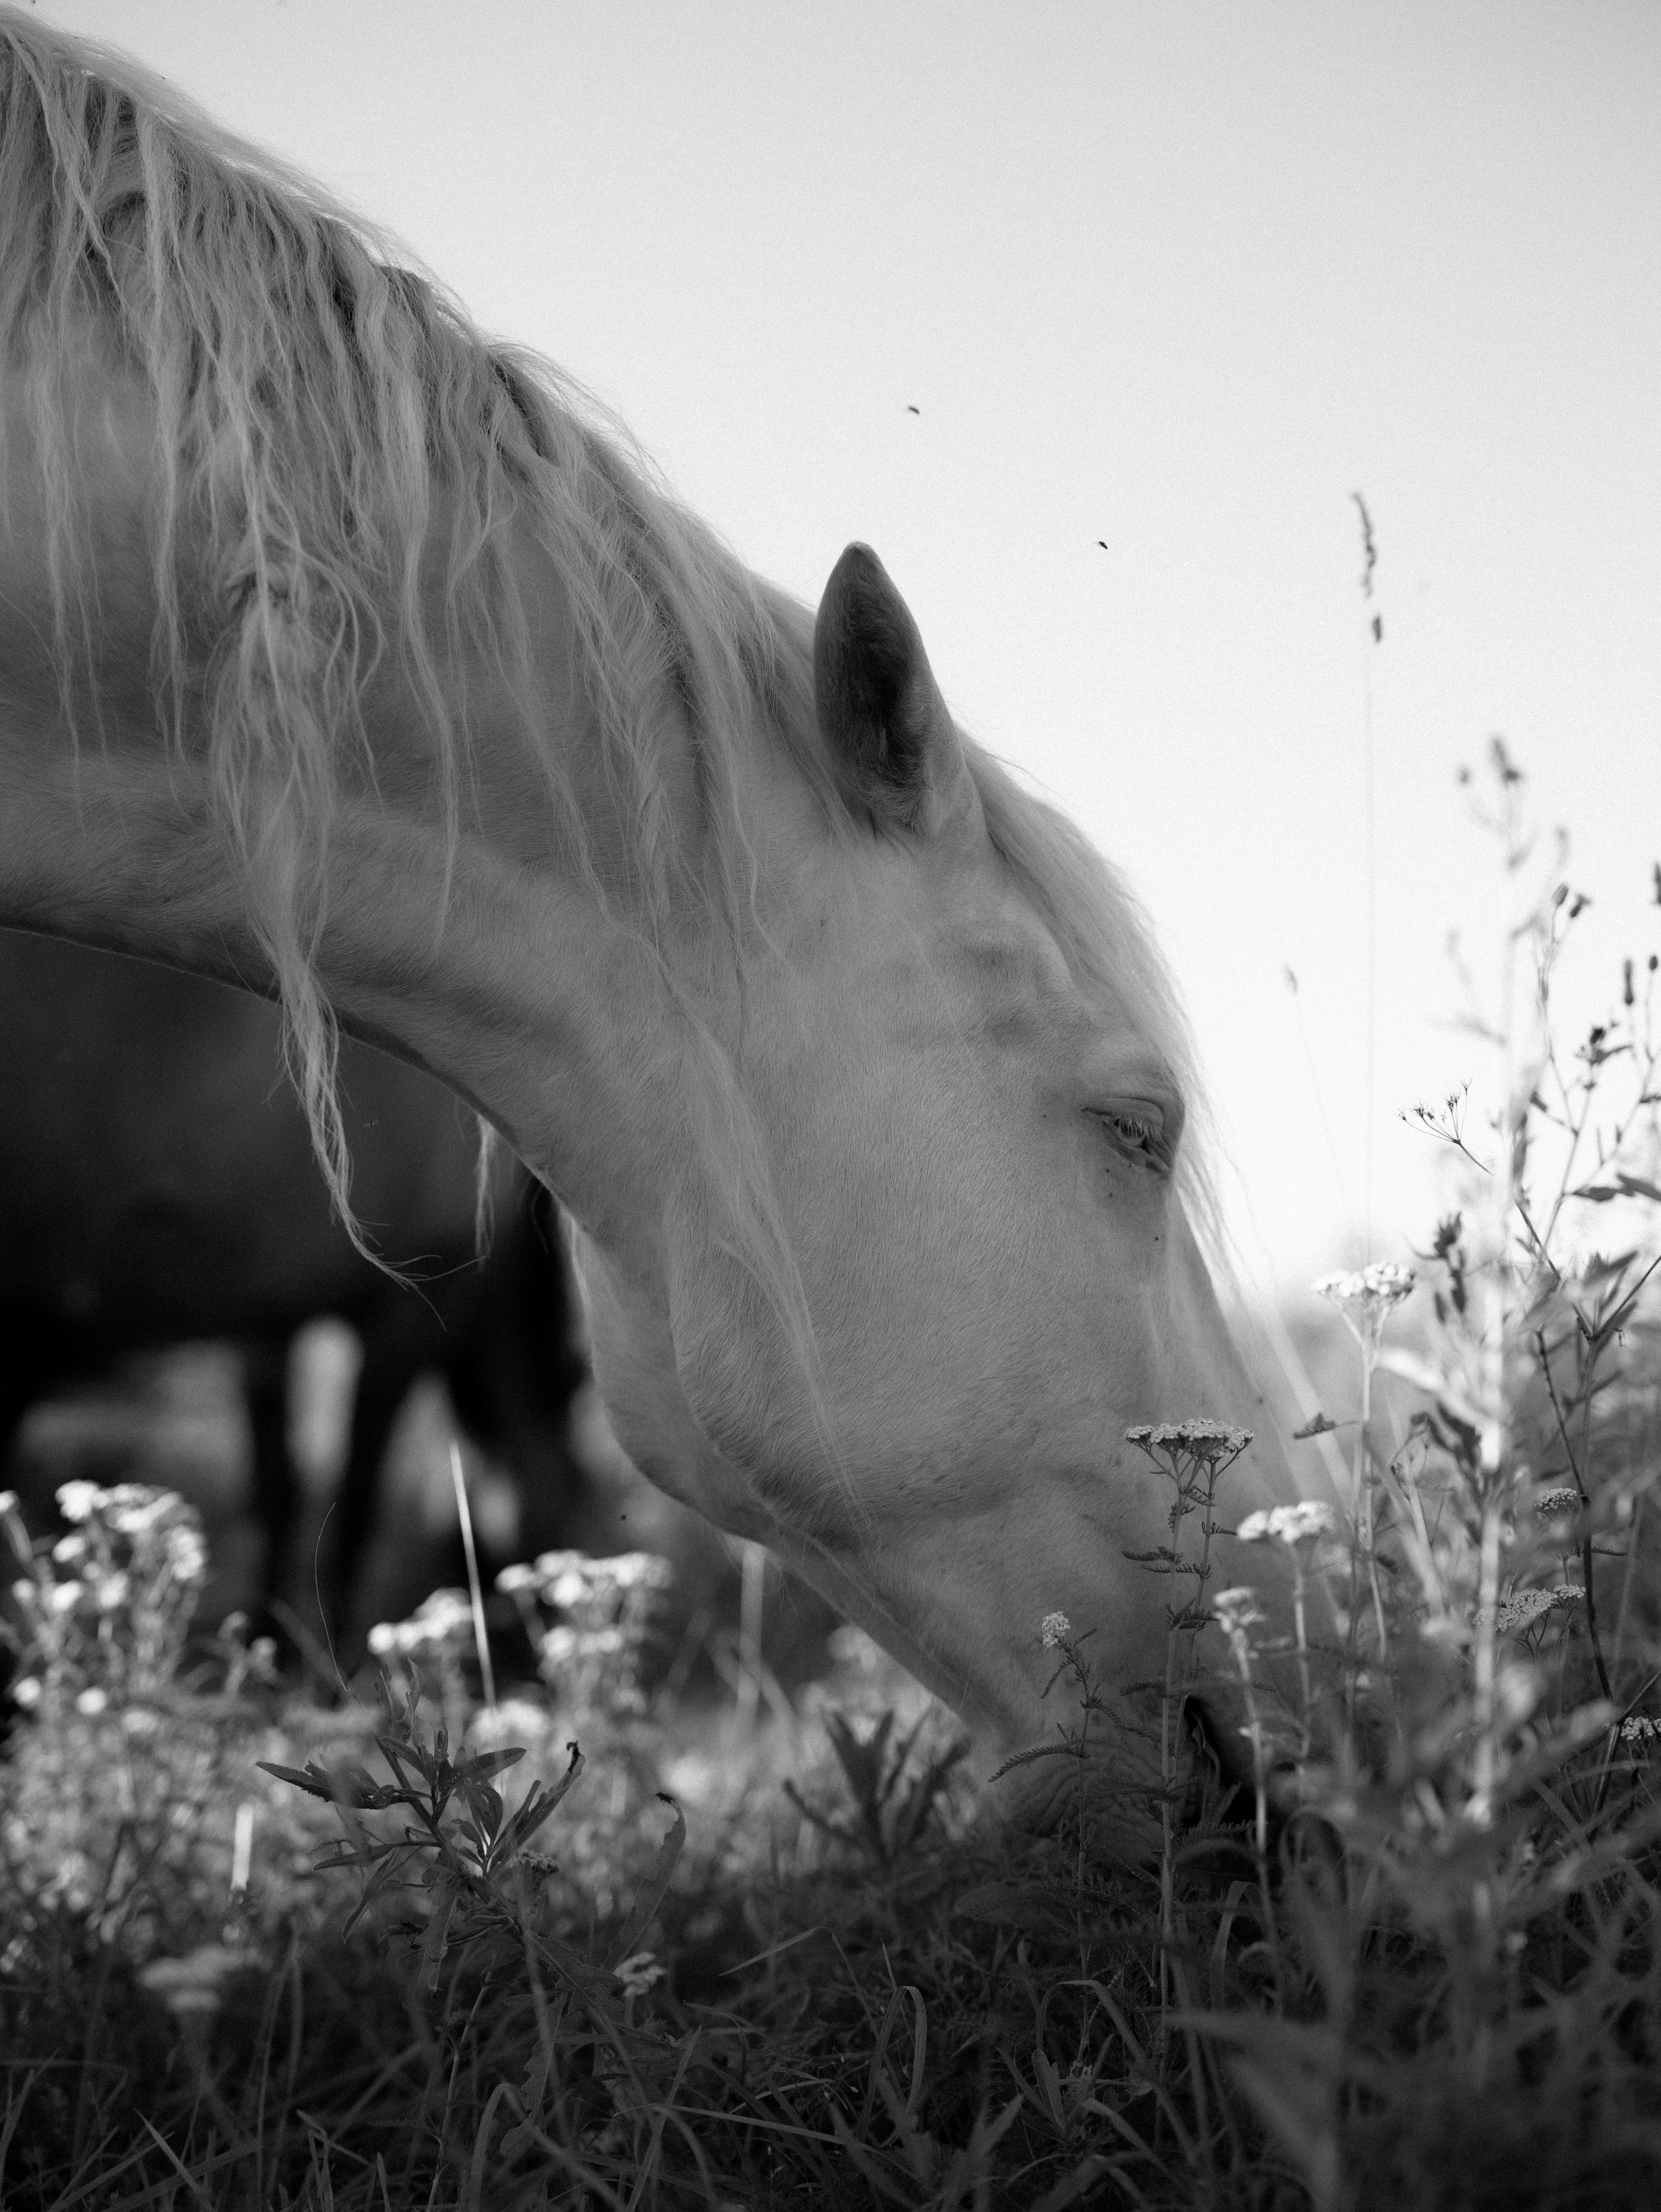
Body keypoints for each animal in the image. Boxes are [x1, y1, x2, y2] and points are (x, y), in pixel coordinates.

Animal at [0, 928, 598, 1651]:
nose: (531, 1640)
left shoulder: (266, 1316)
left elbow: (280, 1487)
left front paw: (269, 1640)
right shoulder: (411, 1312)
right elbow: (354, 1497)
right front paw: (332, 1659)